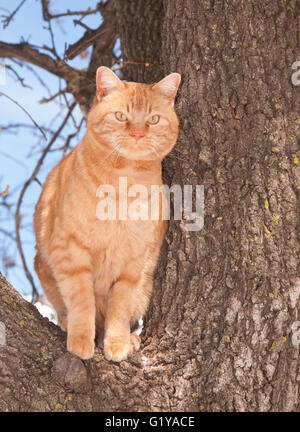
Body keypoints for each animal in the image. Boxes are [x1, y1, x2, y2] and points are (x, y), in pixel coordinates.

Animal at [35, 66, 180, 362]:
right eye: (121, 116)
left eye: (153, 119)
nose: (137, 134)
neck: (124, 184)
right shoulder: (71, 251)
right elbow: (82, 300)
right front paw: (81, 339)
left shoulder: (133, 262)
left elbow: (120, 308)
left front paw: (118, 342)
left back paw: (132, 338)